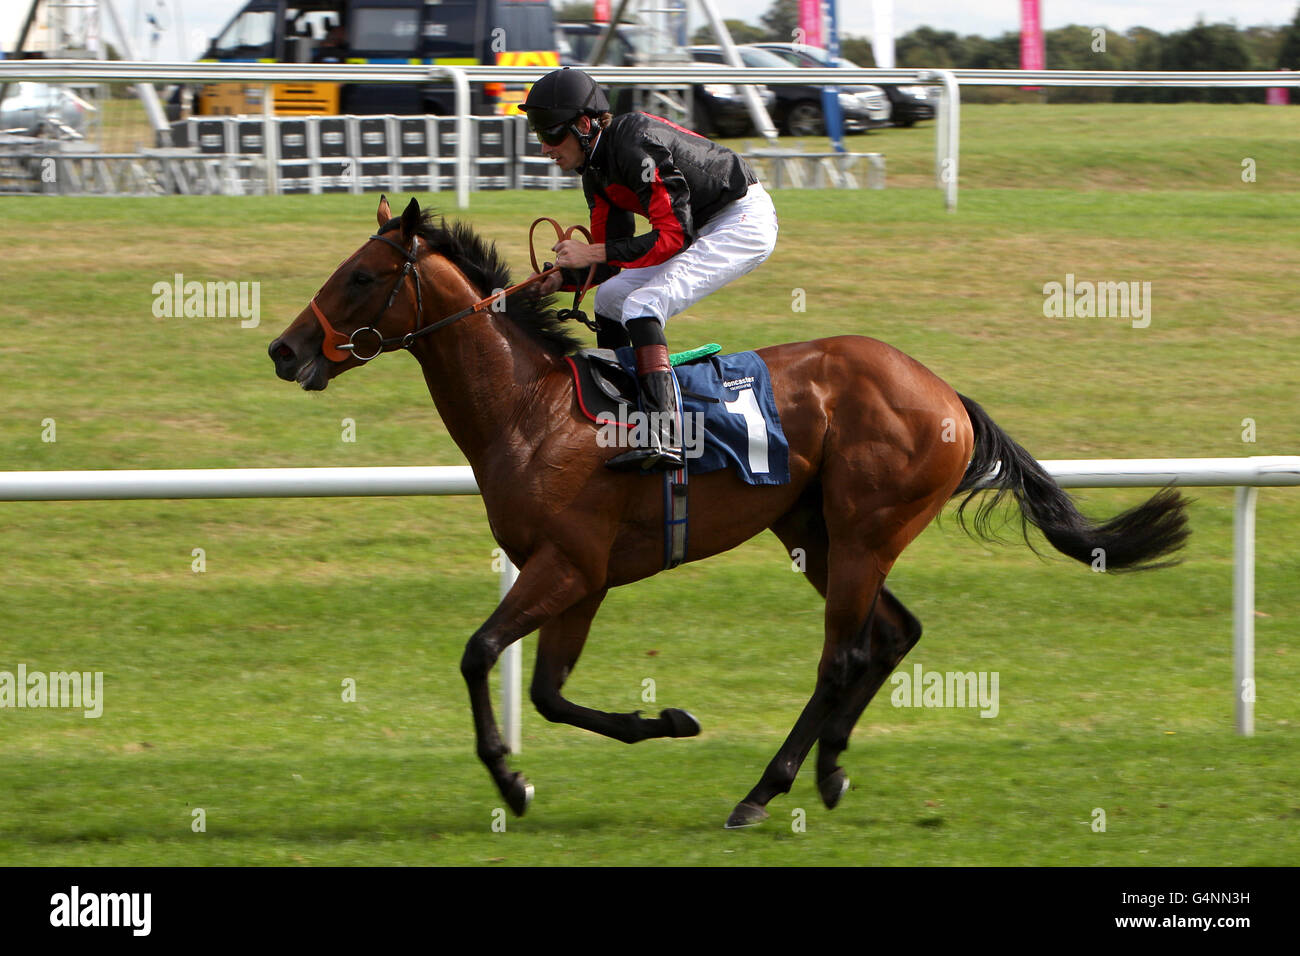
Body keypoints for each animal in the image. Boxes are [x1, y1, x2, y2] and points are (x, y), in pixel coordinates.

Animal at [266, 196, 1190, 832]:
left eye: (361, 276)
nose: (284, 349)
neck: (532, 411)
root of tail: (942, 393)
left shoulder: (567, 565)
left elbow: (480, 653)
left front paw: (510, 779)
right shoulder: (584, 580)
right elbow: (551, 693)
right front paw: (661, 722)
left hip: (864, 531)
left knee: (842, 656)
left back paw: (763, 790)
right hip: (816, 532)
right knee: (894, 634)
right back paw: (829, 769)